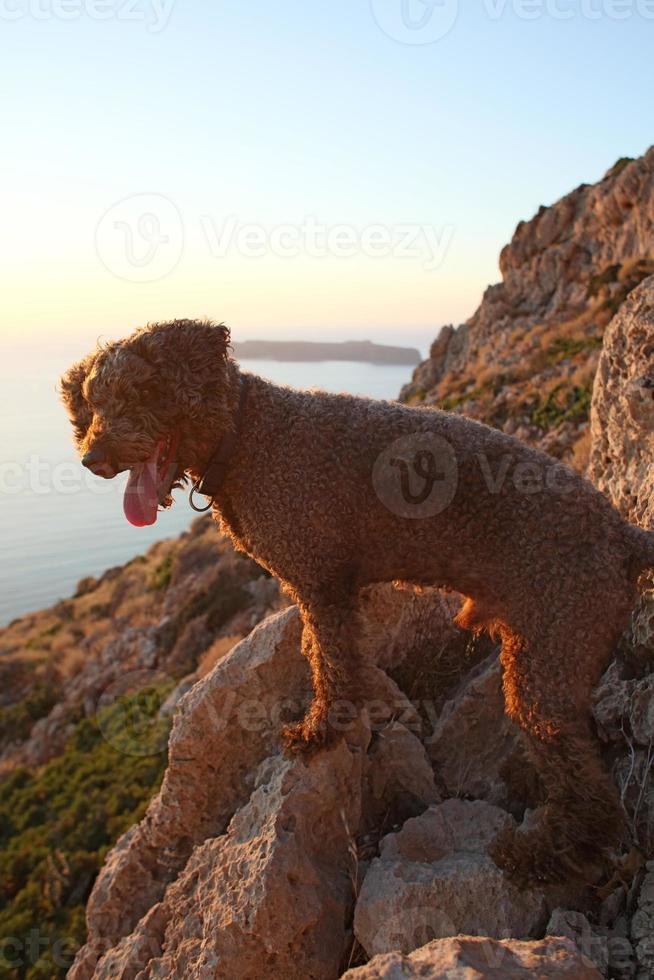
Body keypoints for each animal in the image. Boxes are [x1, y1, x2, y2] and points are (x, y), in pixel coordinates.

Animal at [62, 322, 654, 888]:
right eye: (93, 401)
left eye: (142, 390)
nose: (93, 459)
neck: (246, 434)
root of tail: (622, 534)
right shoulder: (329, 593)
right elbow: (332, 657)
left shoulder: (323, 586)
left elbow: (332, 665)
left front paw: (320, 730)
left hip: (549, 658)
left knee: (591, 795)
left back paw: (543, 857)